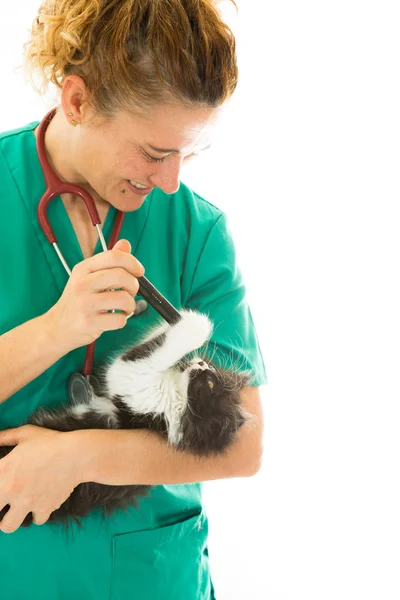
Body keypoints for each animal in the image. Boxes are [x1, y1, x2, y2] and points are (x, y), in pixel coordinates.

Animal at [0, 312, 250, 528]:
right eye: (213, 369)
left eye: (210, 384)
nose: (201, 363)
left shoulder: (138, 391)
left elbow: (141, 356)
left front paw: (196, 323)